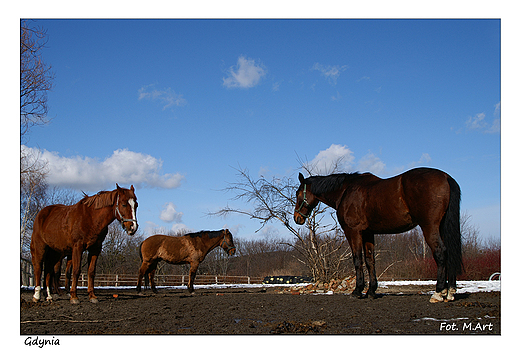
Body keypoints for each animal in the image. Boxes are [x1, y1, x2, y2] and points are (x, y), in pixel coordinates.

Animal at [294, 168, 462, 302]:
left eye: (298, 193)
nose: (297, 218)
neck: (345, 191)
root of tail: (445, 177)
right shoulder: (368, 233)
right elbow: (370, 261)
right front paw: (371, 291)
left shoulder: (353, 232)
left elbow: (357, 260)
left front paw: (357, 291)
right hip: (441, 227)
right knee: (449, 253)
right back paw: (450, 292)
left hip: (430, 227)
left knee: (440, 253)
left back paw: (438, 292)